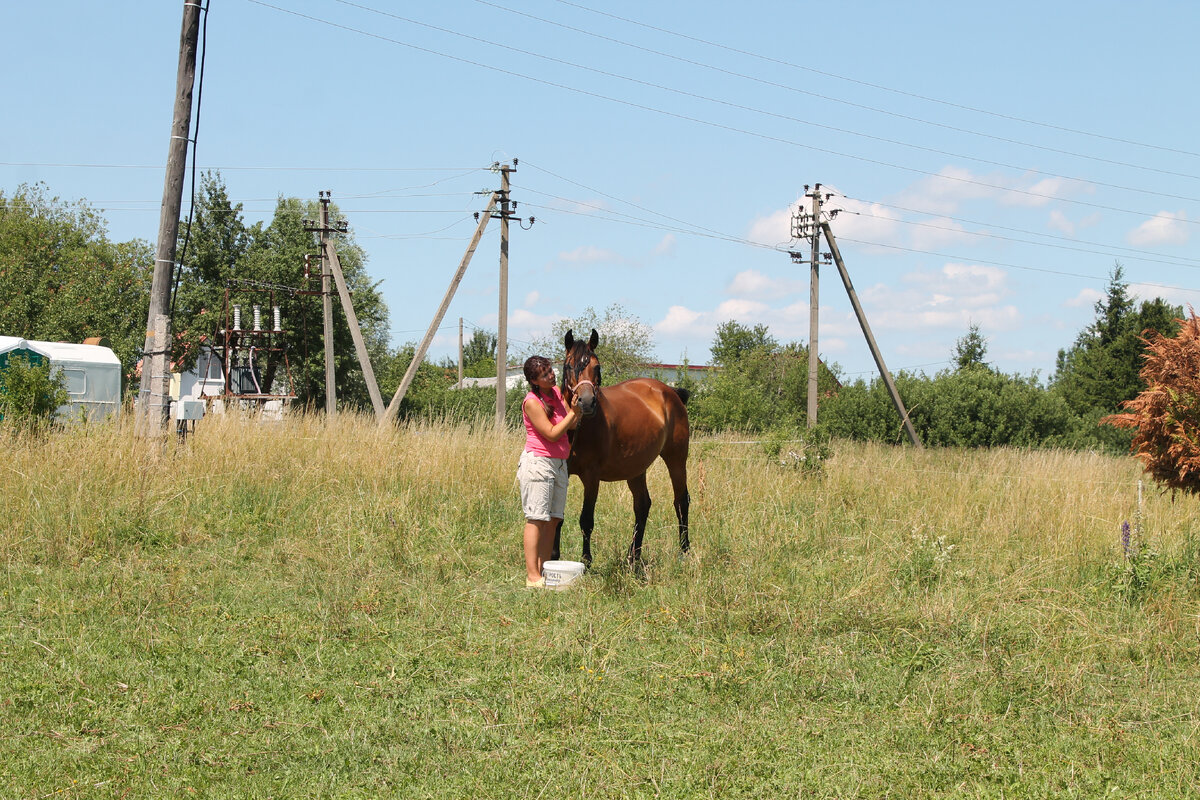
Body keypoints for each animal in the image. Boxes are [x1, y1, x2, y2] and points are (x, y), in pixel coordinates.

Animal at [552, 331, 696, 568]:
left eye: (597, 366)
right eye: (569, 366)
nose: (586, 402)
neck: (577, 429)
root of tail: (670, 391)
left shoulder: (591, 477)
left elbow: (586, 520)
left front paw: (586, 561)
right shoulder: (560, 474)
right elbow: (557, 516)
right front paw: (553, 556)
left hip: (676, 458)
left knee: (681, 501)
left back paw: (684, 552)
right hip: (636, 468)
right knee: (643, 505)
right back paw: (633, 556)